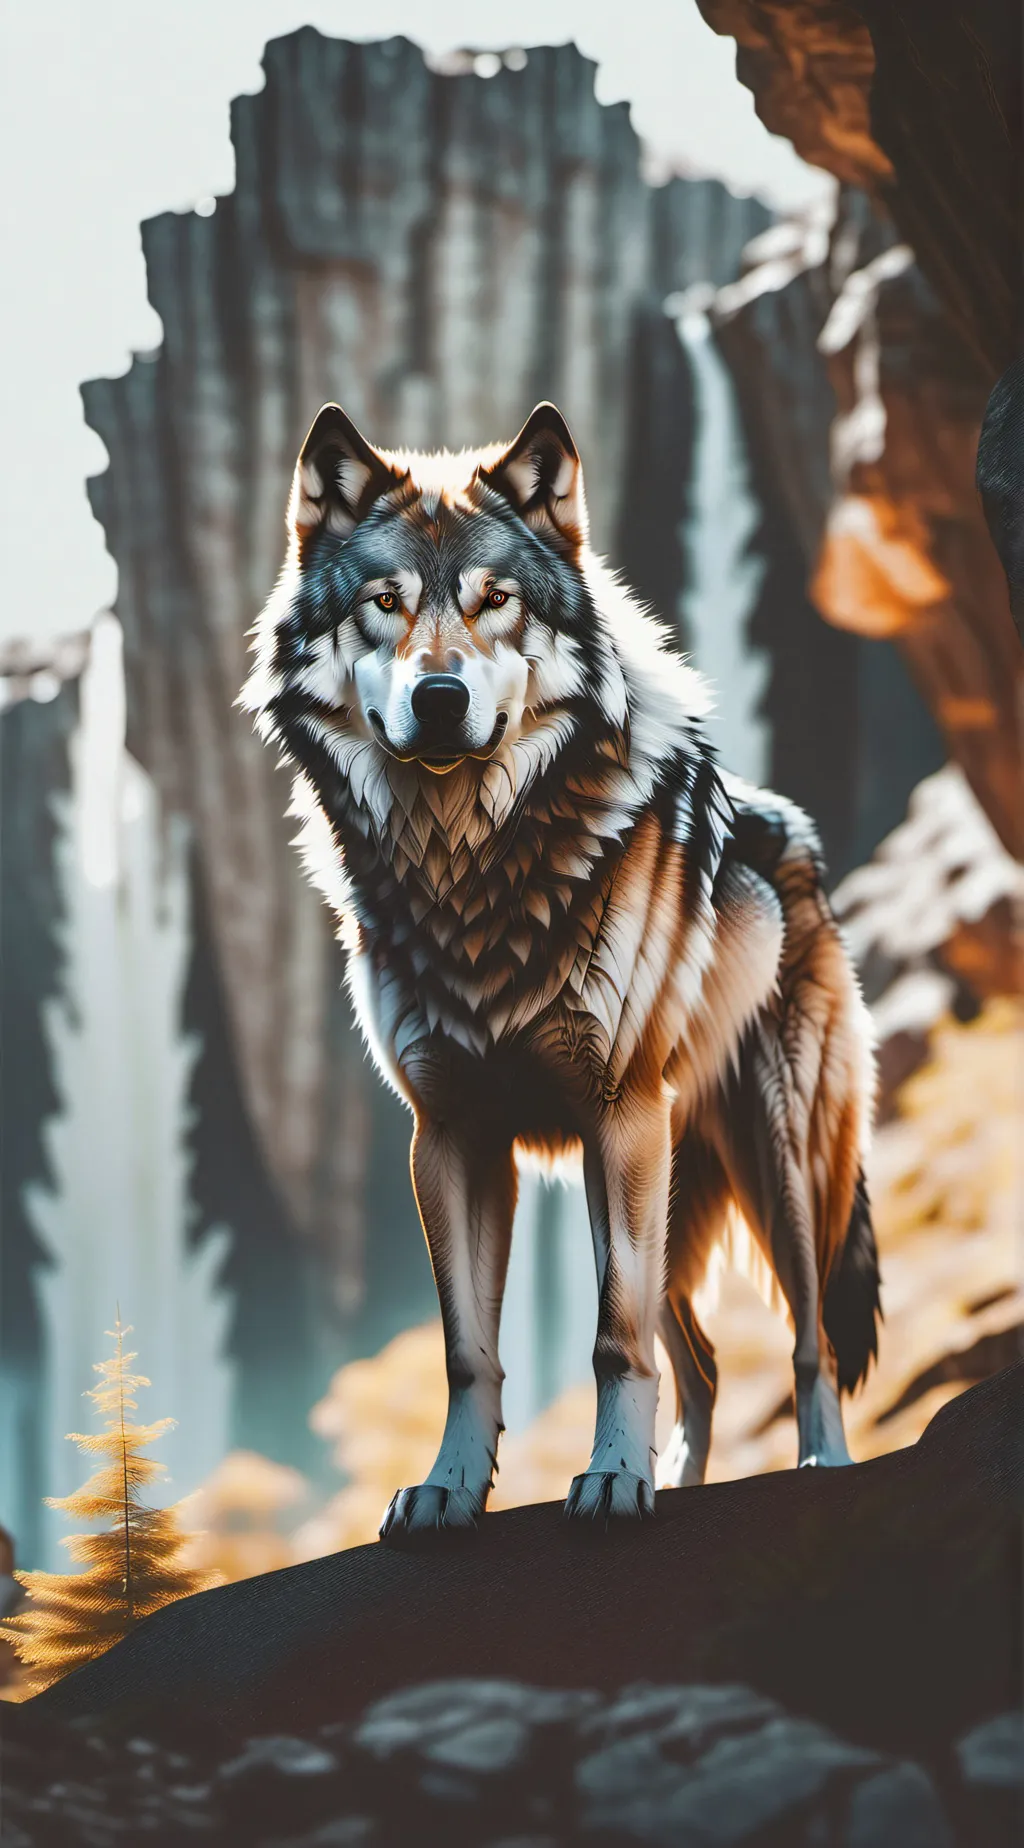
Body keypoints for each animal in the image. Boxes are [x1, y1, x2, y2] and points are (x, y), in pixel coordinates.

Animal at [244, 401, 881, 1537]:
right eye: (383, 605)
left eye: (494, 600)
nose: (439, 697)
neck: (466, 872)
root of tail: (795, 834)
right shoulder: (452, 1135)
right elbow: (468, 1353)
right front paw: (450, 1490)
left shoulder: (614, 1112)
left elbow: (612, 1338)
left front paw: (614, 1478)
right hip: (661, 1181)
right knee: (704, 1366)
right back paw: (683, 1482)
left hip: (772, 1171)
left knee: (807, 1343)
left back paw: (815, 1468)